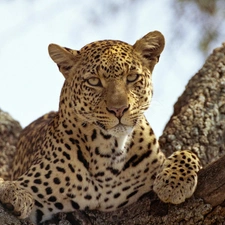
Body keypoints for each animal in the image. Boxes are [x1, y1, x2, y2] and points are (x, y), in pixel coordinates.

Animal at [0, 30, 201, 224]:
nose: (119, 109)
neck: (109, 151)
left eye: (132, 77)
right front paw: (14, 192)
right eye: (94, 81)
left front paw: (173, 184)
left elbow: (188, 153)